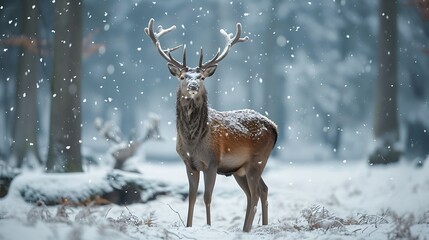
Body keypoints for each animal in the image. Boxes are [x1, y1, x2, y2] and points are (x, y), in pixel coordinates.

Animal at [144, 17, 278, 232]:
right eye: (183, 77)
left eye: (202, 77)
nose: (193, 86)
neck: (193, 142)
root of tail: (274, 127)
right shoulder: (189, 164)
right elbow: (191, 197)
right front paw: (189, 226)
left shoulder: (212, 162)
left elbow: (207, 197)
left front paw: (208, 226)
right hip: (240, 169)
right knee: (259, 191)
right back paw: (256, 227)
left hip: (258, 160)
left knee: (256, 193)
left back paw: (248, 229)